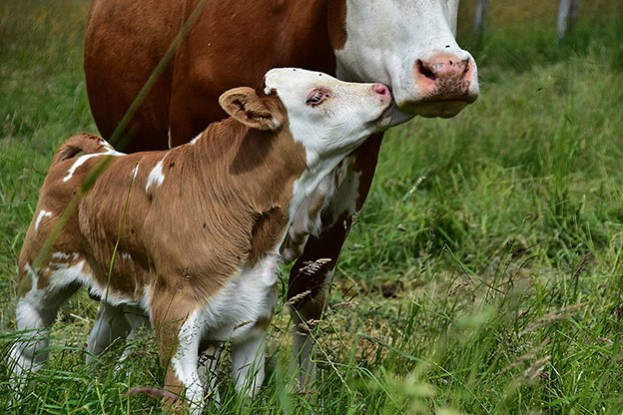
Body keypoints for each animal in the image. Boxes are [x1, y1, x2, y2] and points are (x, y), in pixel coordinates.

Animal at [9, 68, 392, 412]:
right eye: (316, 96)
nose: (383, 89)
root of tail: (93, 156)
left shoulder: (254, 319)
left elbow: (246, 392)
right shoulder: (176, 318)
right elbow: (186, 396)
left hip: (116, 293)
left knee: (100, 347)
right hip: (38, 281)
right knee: (27, 348)